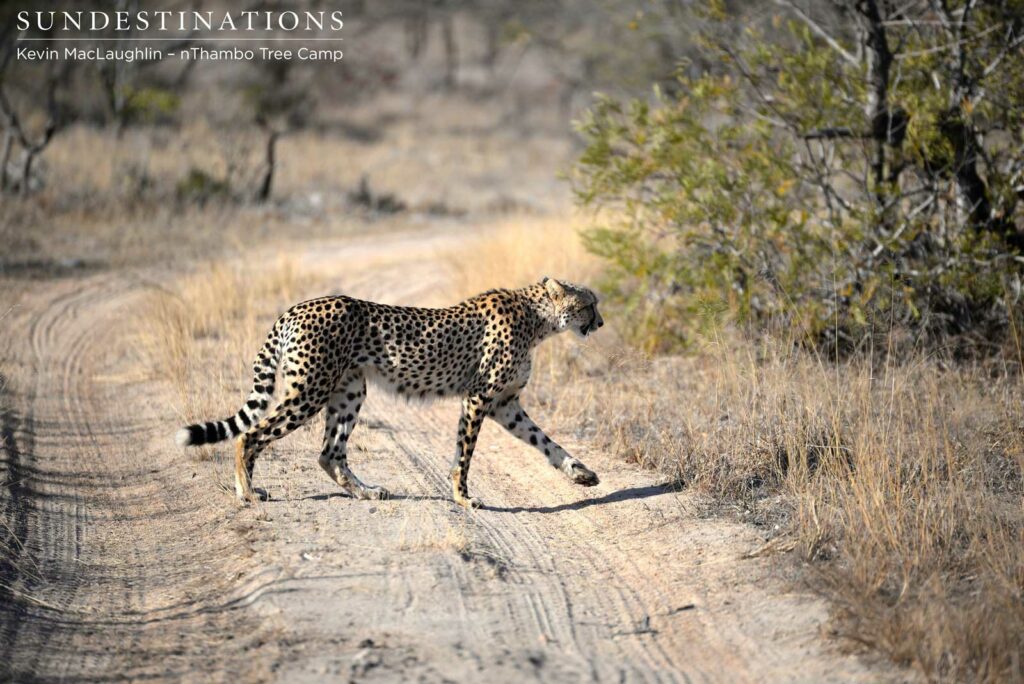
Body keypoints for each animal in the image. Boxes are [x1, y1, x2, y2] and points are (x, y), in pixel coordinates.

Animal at [175, 277, 604, 509]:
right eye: (589, 304)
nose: (600, 323)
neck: (537, 319)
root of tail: (296, 308)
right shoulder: (480, 398)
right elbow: (464, 456)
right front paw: (463, 498)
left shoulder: (505, 404)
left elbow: (545, 441)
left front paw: (580, 472)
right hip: (310, 389)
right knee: (249, 435)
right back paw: (247, 493)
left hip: (349, 390)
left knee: (329, 453)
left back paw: (365, 492)